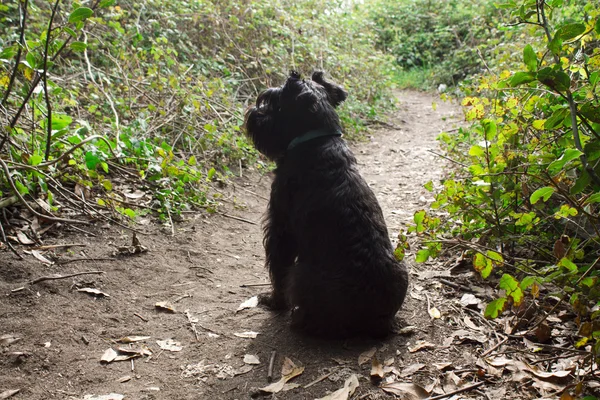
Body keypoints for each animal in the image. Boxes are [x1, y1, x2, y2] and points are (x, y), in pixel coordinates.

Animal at [244, 72, 408, 338]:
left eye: (275, 102)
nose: (253, 111)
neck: (317, 140)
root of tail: (380, 321)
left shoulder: (281, 229)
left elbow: (278, 267)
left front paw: (273, 301)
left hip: (300, 275)